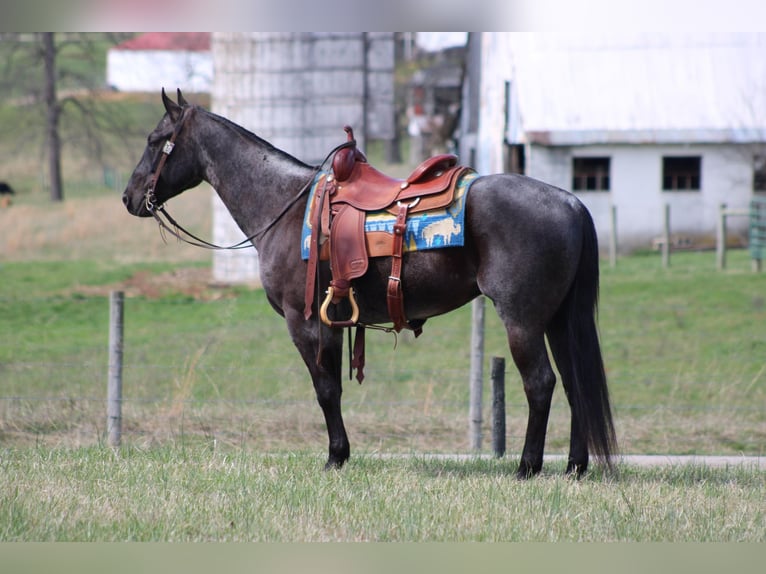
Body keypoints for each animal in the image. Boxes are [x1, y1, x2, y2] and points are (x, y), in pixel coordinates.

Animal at [123, 89, 620, 476]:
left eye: (154, 140)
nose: (129, 198)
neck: (285, 205)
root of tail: (571, 203)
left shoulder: (304, 321)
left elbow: (325, 389)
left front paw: (335, 457)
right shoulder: (334, 321)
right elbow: (334, 387)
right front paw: (340, 455)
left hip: (522, 319)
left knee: (541, 383)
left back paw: (527, 467)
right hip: (557, 320)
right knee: (574, 383)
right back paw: (575, 466)